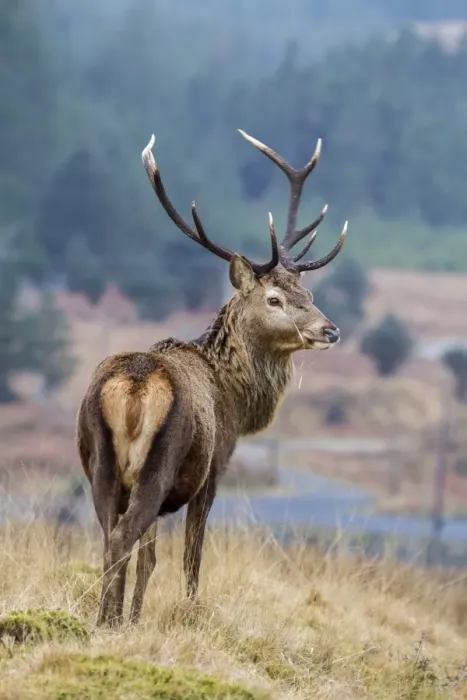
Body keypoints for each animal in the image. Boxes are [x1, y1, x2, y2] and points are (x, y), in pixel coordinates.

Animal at [76, 127, 348, 627]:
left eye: (309, 293)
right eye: (275, 299)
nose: (330, 330)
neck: (235, 400)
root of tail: (134, 387)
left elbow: (149, 559)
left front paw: (137, 617)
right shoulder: (214, 468)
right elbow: (191, 558)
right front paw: (187, 611)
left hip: (100, 462)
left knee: (110, 537)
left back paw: (107, 618)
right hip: (159, 464)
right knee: (123, 536)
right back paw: (108, 621)